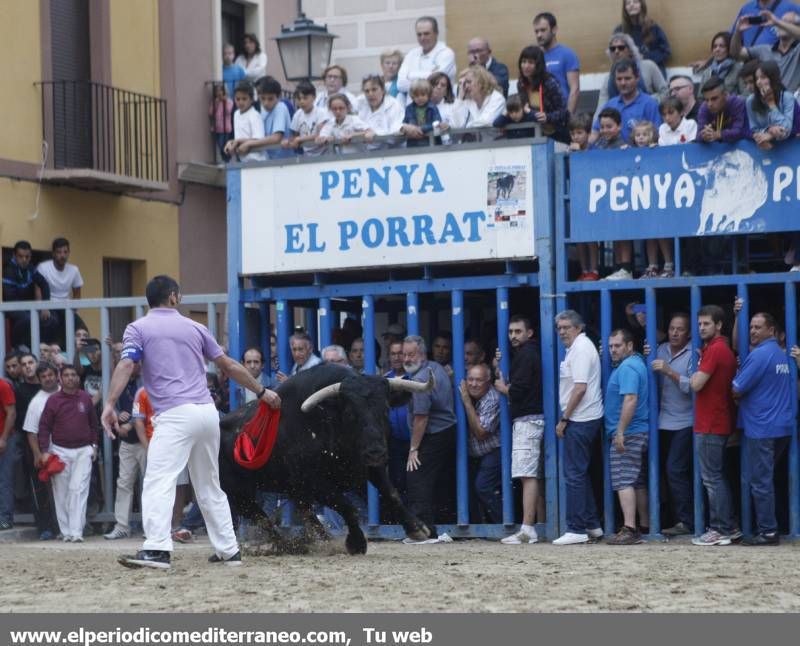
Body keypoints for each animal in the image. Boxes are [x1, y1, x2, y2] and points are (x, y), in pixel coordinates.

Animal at [217, 364, 432, 556]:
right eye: (351, 413)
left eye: (386, 409)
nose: (376, 453)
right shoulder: (316, 484)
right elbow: (348, 507)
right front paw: (357, 543)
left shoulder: (366, 470)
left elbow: (391, 493)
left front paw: (417, 528)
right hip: (239, 495)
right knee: (264, 520)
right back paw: (288, 546)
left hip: (289, 491)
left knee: (302, 515)